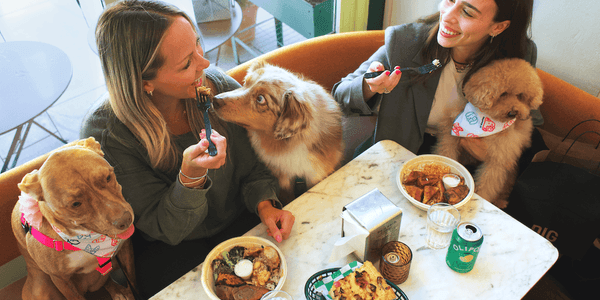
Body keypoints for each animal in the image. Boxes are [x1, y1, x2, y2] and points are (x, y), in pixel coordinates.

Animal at [10, 137, 137, 298]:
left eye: (108, 177)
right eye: (75, 204)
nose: (125, 220)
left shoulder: (125, 248)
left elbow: (133, 281)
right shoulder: (61, 279)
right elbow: (75, 297)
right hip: (41, 288)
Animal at [212, 60, 342, 202]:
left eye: (260, 99)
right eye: (246, 82)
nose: (215, 100)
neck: (289, 143)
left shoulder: (316, 176)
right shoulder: (284, 182)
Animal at [434, 58, 540, 209]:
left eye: (520, 96)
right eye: (503, 94)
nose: (513, 112)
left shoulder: (498, 159)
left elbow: (488, 185)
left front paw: (481, 196)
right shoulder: (451, 134)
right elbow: (446, 152)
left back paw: (501, 202)